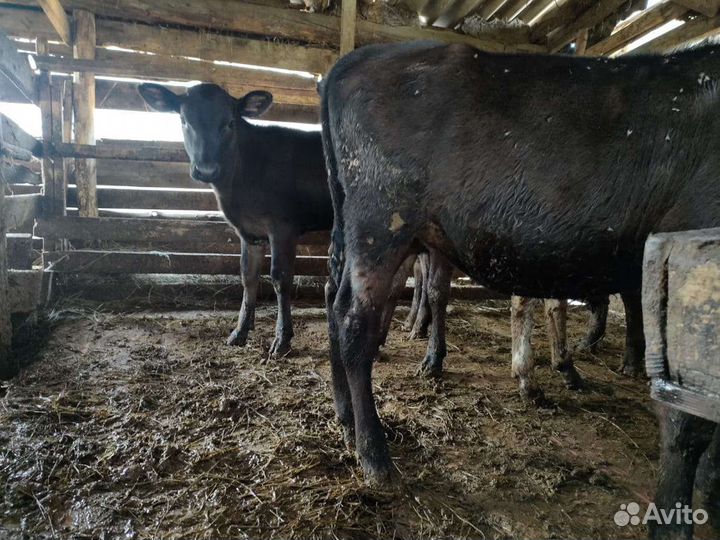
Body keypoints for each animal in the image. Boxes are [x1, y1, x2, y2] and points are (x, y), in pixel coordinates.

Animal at [319, 40, 720, 493]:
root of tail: (357, 58)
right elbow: (689, 419)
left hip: (362, 231)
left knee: (334, 299)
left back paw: (347, 418)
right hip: (382, 224)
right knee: (354, 320)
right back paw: (374, 453)